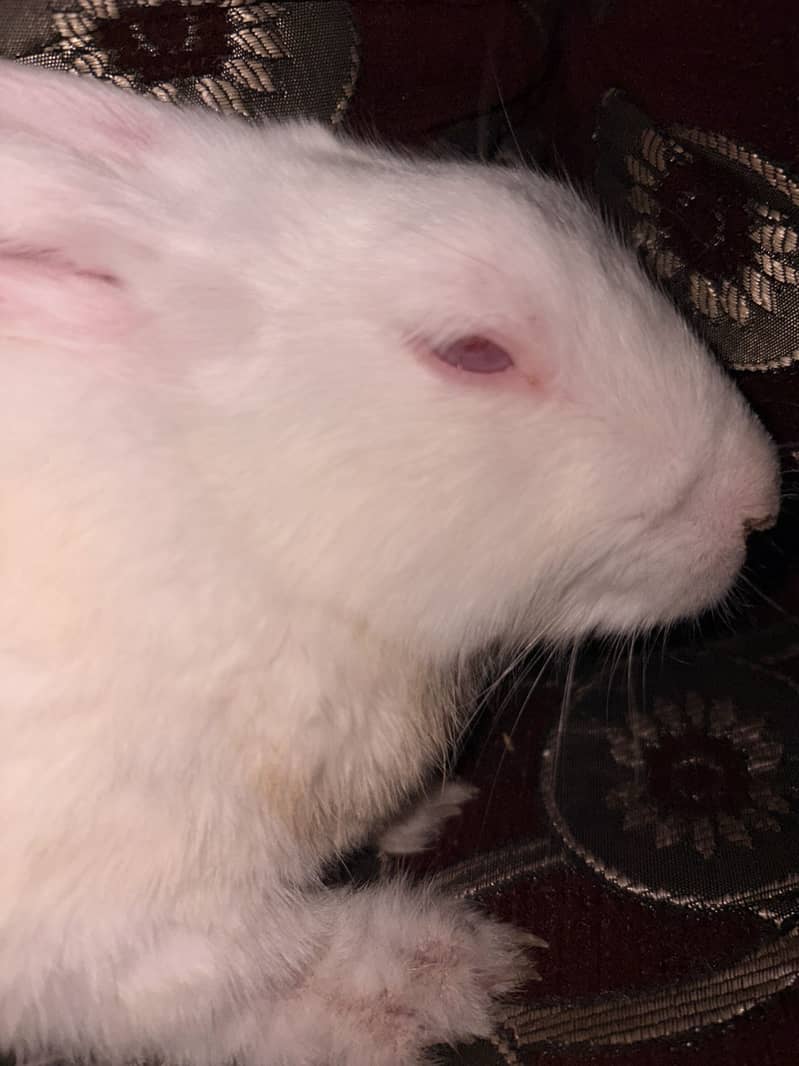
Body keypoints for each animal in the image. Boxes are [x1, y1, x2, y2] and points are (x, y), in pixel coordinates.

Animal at [0, 59, 780, 1066]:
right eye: (474, 353)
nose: (756, 504)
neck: (239, 512)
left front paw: (430, 811)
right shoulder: (116, 924)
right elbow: (253, 981)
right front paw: (448, 976)